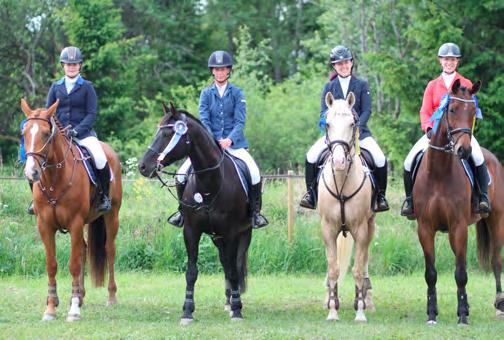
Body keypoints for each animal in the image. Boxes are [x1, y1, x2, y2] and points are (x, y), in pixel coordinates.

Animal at [20, 98, 122, 322]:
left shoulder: (75, 222)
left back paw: (111, 297)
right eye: (24, 133)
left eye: (46, 134)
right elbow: (51, 264)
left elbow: (73, 264)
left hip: (112, 215)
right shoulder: (44, 225)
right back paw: (81, 296)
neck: (54, 179)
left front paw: (73, 310)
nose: (31, 172)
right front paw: (51, 307)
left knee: (109, 250)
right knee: (83, 248)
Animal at [138, 103, 252, 324]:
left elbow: (234, 270)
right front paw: (187, 311)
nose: (143, 166)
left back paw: (234, 303)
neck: (210, 183)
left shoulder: (232, 233)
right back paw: (228, 301)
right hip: (216, 237)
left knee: (234, 264)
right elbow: (191, 272)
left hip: (244, 232)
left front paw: (237, 310)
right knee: (225, 262)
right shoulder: (191, 231)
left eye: (167, 134)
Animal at [414, 79, 504, 324]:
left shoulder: (459, 227)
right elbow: (431, 273)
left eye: (473, 112)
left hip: (496, 220)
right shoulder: (425, 228)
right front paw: (432, 313)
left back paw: (499, 304)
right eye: (452, 109)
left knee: (496, 261)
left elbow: (461, 273)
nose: (464, 150)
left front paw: (462, 314)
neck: (439, 172)